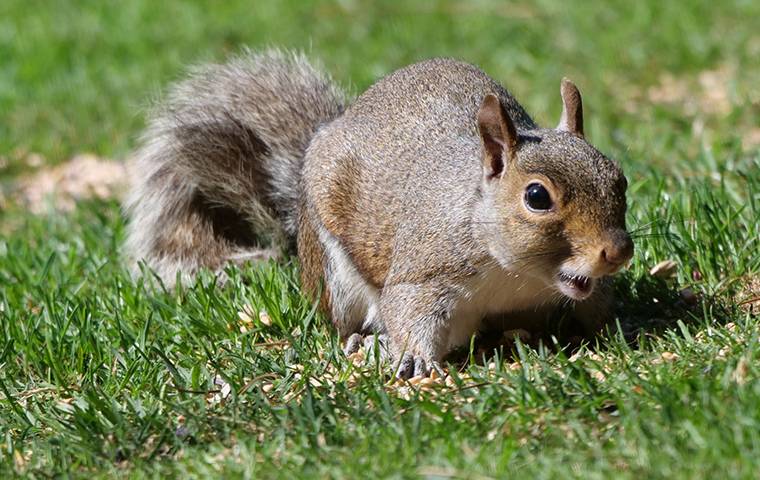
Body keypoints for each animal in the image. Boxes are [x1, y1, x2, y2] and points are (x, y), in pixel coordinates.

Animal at [126, 48, 636, 378]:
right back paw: (367, 341)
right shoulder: (427, 269)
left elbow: (597, 304)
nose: (617, 252)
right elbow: (407, 307)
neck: (518, 274)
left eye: (620, 179)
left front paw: (620, 327)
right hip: (335, 276)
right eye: (536, 197)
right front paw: (413, 357)